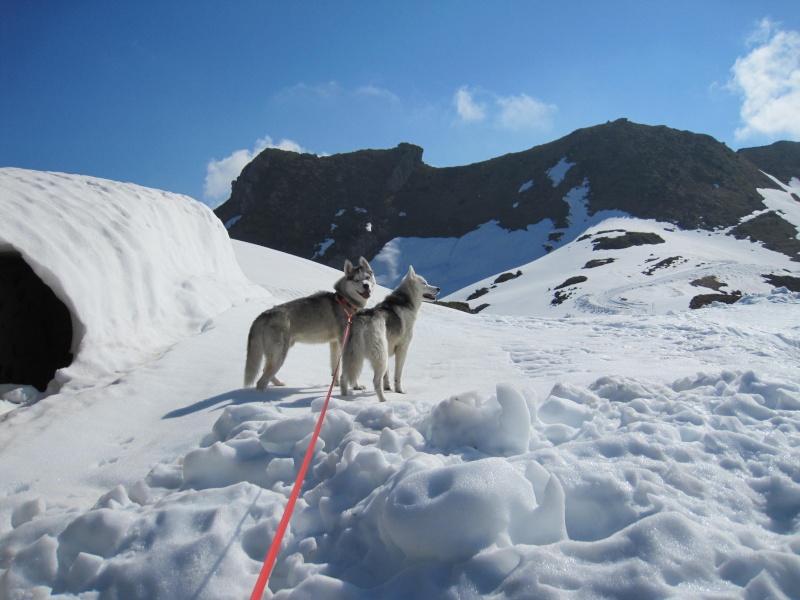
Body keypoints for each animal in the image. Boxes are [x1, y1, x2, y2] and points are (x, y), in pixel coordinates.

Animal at [244, 256, 376, 390]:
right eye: (356, 280)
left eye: (367, 277)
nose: (366, 285)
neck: (346, 301)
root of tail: (264, 315)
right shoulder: (344, 342)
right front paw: (356, 386)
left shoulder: (334, 343)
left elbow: (335, 368)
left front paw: (336, 384)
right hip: (279, 354)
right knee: (262, 381)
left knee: (265, 371)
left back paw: (279, 383)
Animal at [338, 268, 438, 404]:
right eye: (424, 283)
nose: (438, 288)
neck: (406, 301)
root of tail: (362, 320)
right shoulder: (402, 349)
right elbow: (398, 375)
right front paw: (399, 391)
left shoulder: (388, 348)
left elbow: (387, 376)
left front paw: (388, 387)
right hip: (380, 357)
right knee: (375, 381)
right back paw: (383, 400)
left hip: (352, 356)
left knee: (343, 377)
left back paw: (344, 397)